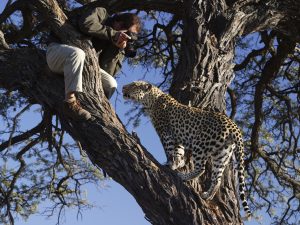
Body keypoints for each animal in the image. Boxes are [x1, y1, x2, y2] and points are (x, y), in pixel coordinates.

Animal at [122, 81, 251, 218]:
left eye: (133, 85)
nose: (123, 87)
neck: (151, 100)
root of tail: (234, 127)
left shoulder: (165, 133)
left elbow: (169, 150)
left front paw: (171, 165)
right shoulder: (177, 137)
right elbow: (178, 151)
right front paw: (178, 163)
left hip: (200, 144)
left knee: (201, 168)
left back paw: (184, 177)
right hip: (222, 154)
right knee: (217, 178)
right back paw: (207, 196)